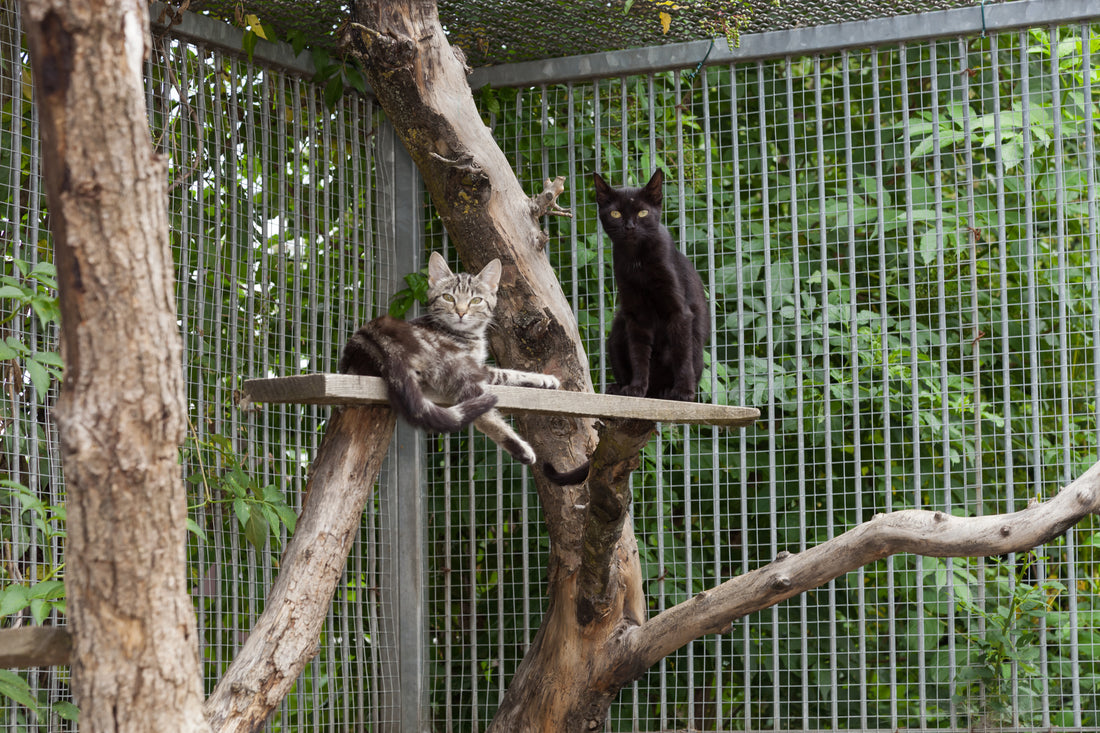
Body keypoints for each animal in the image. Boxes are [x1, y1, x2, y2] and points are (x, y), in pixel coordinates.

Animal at [338, 250, 558, 462]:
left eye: (476, 300)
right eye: (448, 298)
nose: (460, 312)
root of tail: (372, 340)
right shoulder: (476, 366)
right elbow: (508, 373)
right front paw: (544, 378)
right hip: (454, 363)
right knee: (481, 412)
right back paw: (521, 449)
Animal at [543, 167, 712, 482]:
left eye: (643, 212)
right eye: (616, 213)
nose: (631, 226)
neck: (638, 263)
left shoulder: (678, 311)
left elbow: (681, 353)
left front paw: (682, 393)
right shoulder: (634, 315)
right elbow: (638, 354)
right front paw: (635, 389)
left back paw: (667, 393)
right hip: (616, 331)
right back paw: (620, 388)